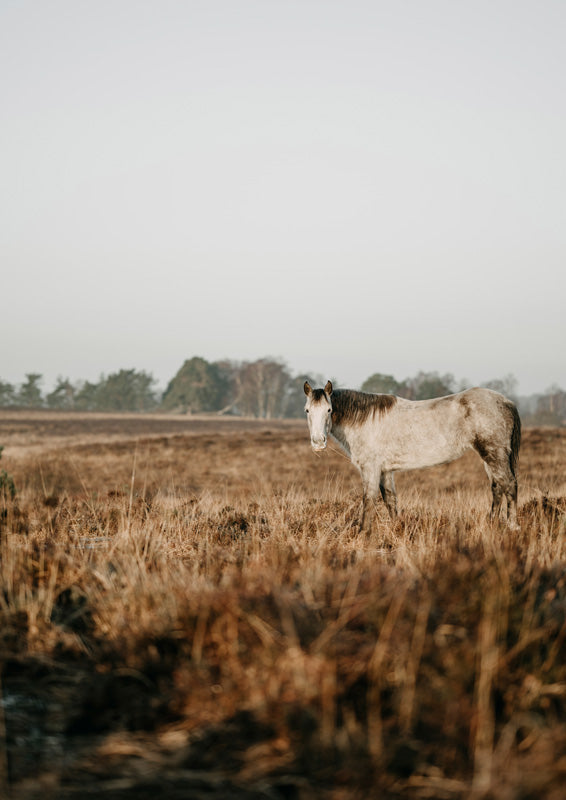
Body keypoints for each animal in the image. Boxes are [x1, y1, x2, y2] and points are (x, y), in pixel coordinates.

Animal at [303, 380, 521, 532]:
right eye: (307, 411)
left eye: (329, 410)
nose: (318, 442)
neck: (365, 421)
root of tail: (506, 402)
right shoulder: (385, 471)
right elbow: (390, 500)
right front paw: (397, 528)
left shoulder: (371, 468)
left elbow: (368, 499)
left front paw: (363, 532)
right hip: (489, 457)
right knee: (497, 487)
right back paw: (492, 522)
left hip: (495, 454)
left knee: (509, 484)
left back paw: (513, 526)